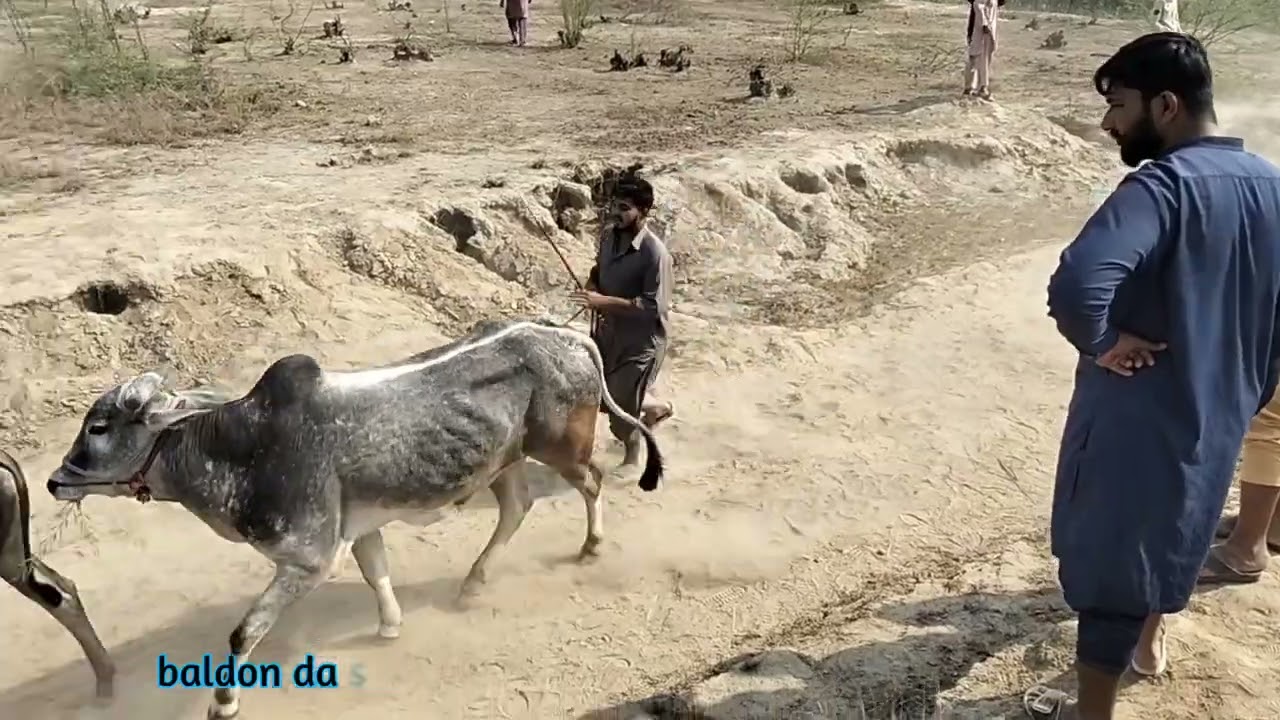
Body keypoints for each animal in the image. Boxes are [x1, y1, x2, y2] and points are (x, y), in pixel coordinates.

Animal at [45, 318, 665, 719]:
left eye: (98, 427)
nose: (54, 480)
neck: (243, 447)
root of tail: (565, 333)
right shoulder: (359, 528)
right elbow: (376, 572)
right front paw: (390, 626)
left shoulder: (308, 559)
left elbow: (245, 631)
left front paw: (224, 702)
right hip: (503, 462)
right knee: (516, 509)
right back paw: (472, 582)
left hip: (560, 447)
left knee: (592, 482)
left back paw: (590, 546)